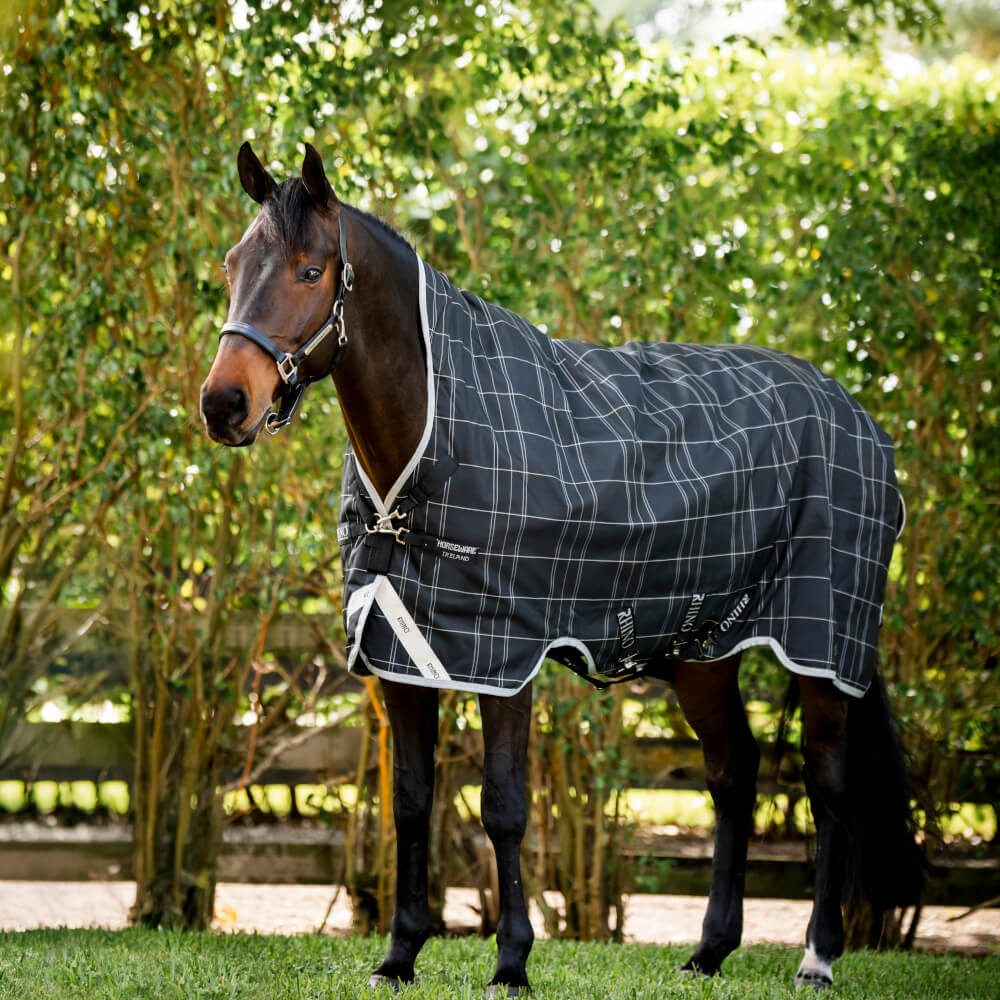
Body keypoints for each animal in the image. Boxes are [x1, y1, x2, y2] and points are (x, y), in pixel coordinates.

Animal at [200, 142, 923, 995]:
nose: (223, 404)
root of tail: (858, 416)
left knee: (829, 784)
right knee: (733, 773)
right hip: (705, 649)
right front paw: (400, 955)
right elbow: (412, 802)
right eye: (232, 262)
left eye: (311, 270)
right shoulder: (401, 651)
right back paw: (710, 951)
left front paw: (512, 962)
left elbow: (503, 806)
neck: (434, 437)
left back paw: (818, 955)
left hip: (823, 647)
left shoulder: (507, 659)